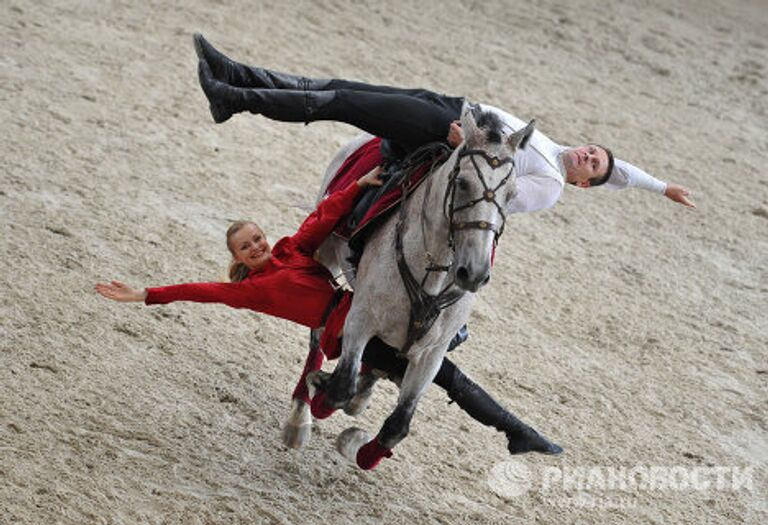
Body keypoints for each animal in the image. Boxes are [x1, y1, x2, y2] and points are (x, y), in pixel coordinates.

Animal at [284, 103, 532, 466]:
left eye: (512, 195)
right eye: (462, 183)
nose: (473, 273)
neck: (433, 268)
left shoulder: (431, 353)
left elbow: (397, 426)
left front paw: (355, 443)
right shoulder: (361, 319)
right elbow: (340, 388)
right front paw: (326, 395)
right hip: (325, 252)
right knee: (318, 336)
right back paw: (299, 419)